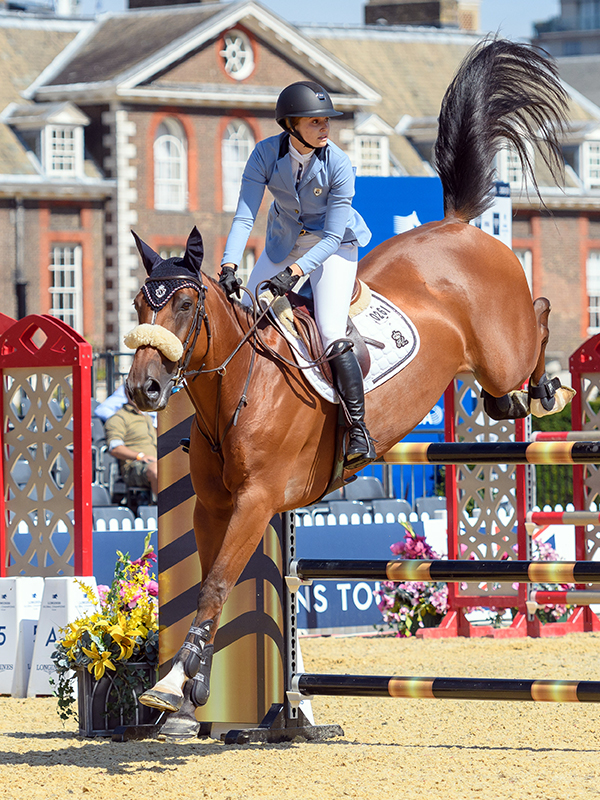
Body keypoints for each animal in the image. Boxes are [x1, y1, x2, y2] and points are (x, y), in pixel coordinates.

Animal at [125, 40, 571, 732]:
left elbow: (219, 582)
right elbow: (207, 583)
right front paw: (187, 688)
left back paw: (551, 390)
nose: (144, 390)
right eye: (140, 305)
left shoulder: (257, 500)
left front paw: (177, 686)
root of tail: (459, 225)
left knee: (541, 313)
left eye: (186, 306)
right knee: (504, 394)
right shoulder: (213, 505)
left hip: (504, 346)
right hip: (491, 373)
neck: (238, 390)